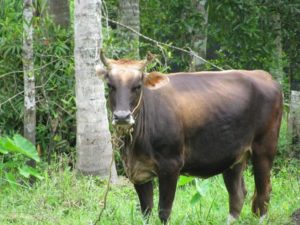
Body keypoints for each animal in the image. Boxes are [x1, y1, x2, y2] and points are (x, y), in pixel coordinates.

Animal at [95, 52, 282, 223]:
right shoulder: (138, 171)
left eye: (137, 86)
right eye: (110, 86)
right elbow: (146, 212)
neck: (134, 145)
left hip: (264, 149)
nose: (122, 116)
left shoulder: (171, 165)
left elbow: (164, 211)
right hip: (233, 156)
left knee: (264, 194)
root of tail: (264, 76)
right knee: (238, 195)